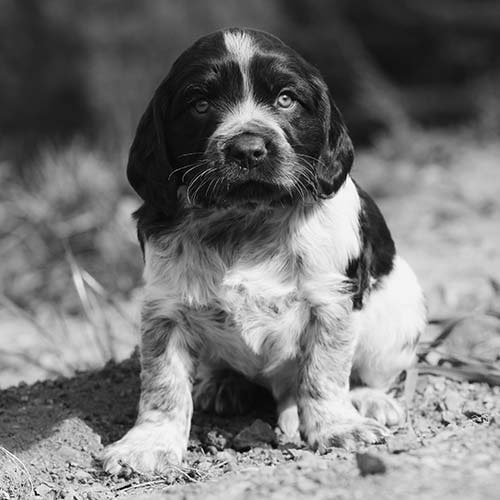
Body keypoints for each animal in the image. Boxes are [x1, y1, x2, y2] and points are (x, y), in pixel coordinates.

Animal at [102, 28, 426, 476]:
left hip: (400, 306)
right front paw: (147, 445)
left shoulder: (331, 301)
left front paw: (338, 427)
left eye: (286, 99)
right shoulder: (165, 309)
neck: (246, 220)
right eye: (200, 104)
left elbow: (324, 373)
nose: (248, 149)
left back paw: (370, 401)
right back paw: (223, 384)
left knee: (369, 372)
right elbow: (162, 384)